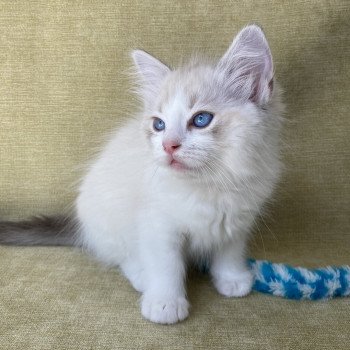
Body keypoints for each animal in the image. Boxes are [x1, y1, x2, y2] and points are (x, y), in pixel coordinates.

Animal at [0, 25, 284, 326]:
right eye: (159, 125)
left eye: (201, 120)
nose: (168, 145)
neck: (208, 185)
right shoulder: (157, 225)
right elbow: (166, 266)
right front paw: (165, 303)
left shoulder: (237, 221)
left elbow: (229, 252)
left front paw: (232, 279)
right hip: (109, 220)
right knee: (122, 256)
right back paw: (141, 276)